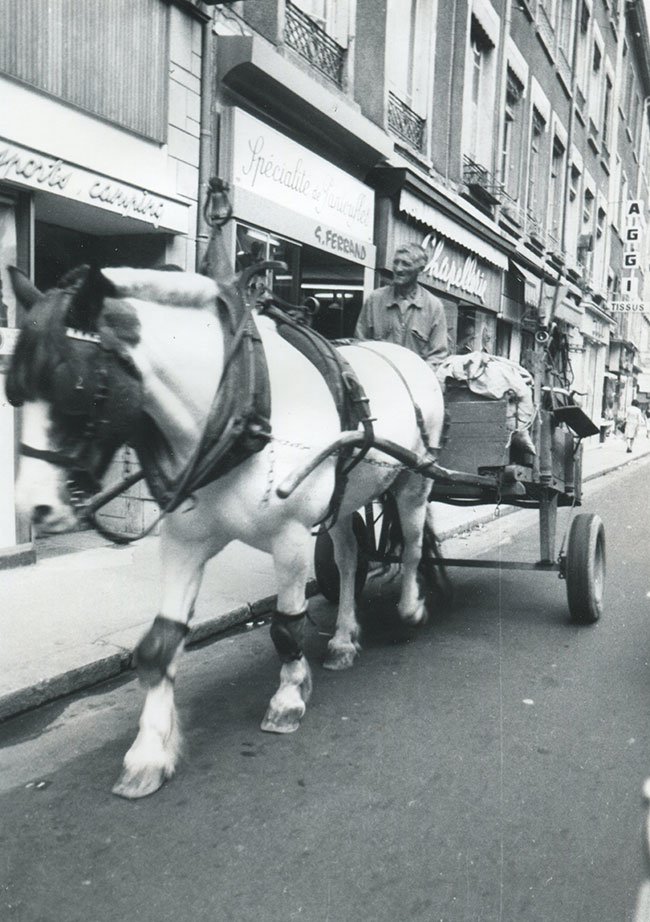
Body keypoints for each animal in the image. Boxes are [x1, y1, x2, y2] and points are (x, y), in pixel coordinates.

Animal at [8, 262, 446, 796]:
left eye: (75, 389)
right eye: (14, 392)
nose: (33, 507)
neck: (240, 410)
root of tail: (408, 357)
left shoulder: (291, 535)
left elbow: (286, 626)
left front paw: (288, 698)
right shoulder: (184, 542)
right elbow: (160, 646)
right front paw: (149, 752)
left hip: (414, 479)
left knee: (412, 545)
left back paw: (410, 608)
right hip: (347, 496)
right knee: (346, 559)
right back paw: (344, 638)